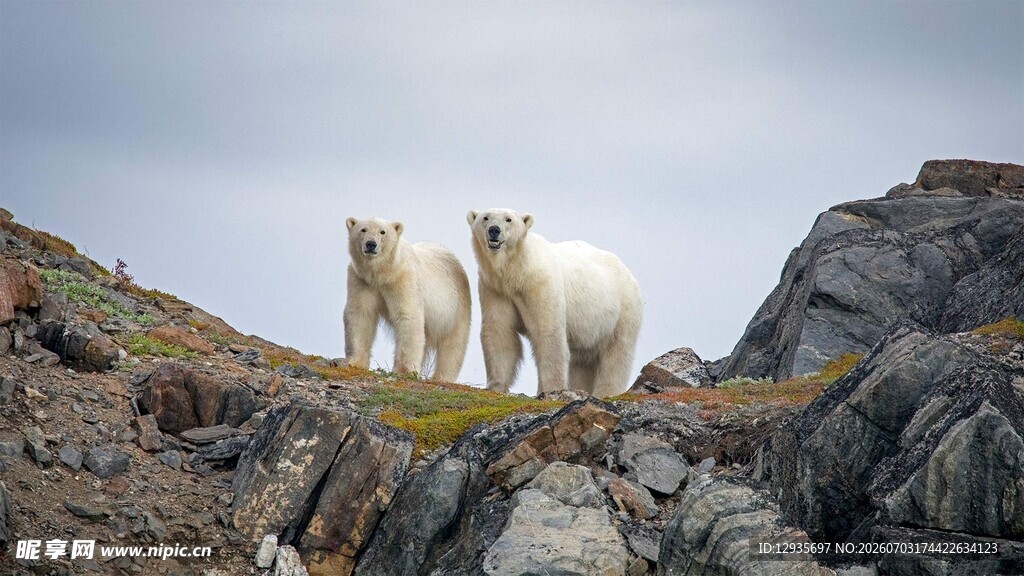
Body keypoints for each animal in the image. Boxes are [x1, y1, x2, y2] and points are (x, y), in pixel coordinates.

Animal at [345, 217, 472, 382]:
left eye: (382, 232)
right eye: (363, 229)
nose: (371, 244)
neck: (382, 274)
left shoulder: (403, 279)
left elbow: (407, 316)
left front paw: (403, 370)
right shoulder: (362, 280)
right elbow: (360, 315)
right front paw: (355, 362)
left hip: (456, 308)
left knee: (453, 345)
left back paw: (441, 377)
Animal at [467, 208, 642, 397]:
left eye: (508, 219)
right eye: (485, 217)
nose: (494, 230)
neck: (517, 271)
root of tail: (627, 271)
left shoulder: (540, 284)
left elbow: (549, 333)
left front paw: (551, 389)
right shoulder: (496, 289)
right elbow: (500, 331)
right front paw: (495, 386)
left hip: (622, 312)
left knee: (617, 354)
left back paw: (606, 393)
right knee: (582, 362)